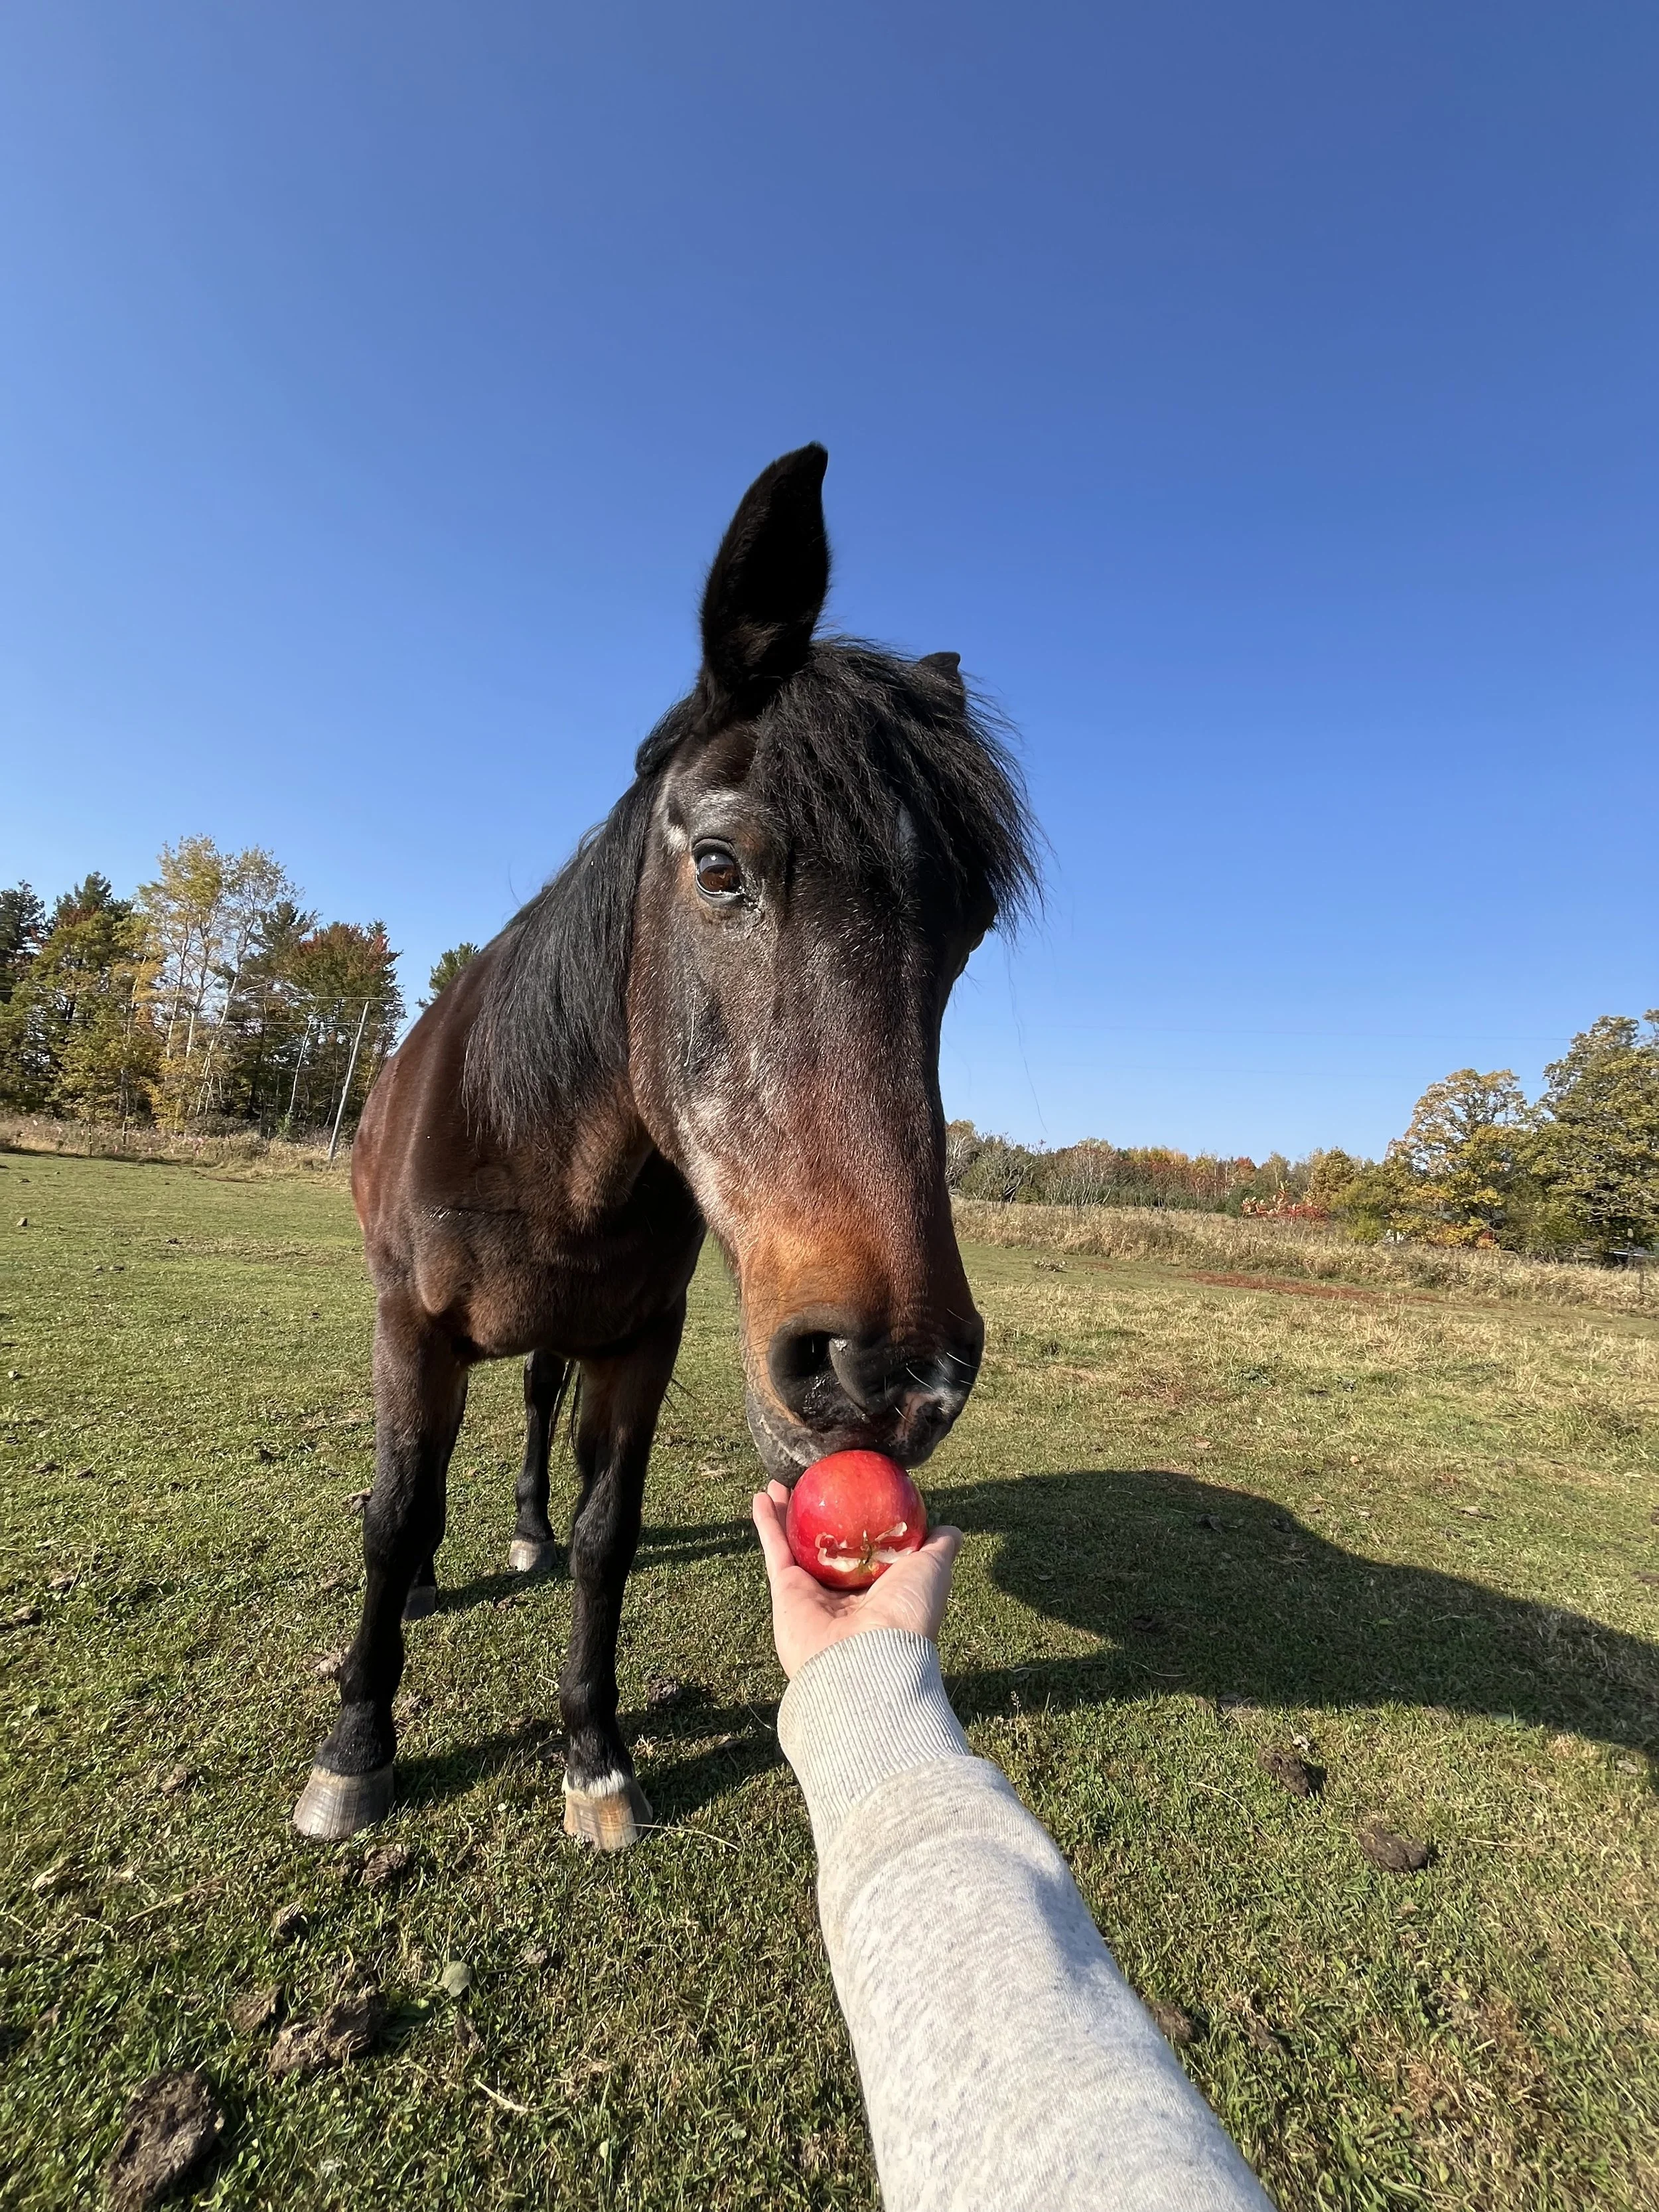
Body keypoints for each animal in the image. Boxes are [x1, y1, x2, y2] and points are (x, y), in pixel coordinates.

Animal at [293, 444, 1036, 1848]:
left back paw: (522, 1531)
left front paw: (596, 1752)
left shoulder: (640, 1338)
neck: (541, 1142)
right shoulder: (411, 1324)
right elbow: (394, 1508)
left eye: (965, 928)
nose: (891, 1371)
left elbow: (607, 1532)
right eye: (720, 864)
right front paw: (356, 1746)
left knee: (536, 1408)